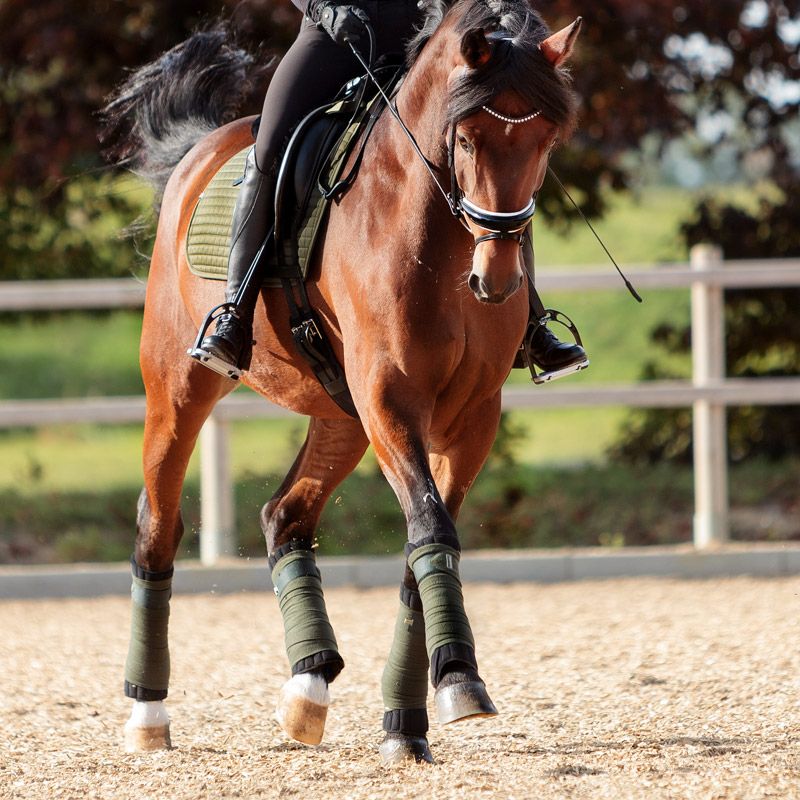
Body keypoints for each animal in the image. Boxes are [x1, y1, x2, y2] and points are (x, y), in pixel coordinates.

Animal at [108, 0, 581, 766]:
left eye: (546, 139)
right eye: (467, 138)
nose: (496, 279)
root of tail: (201, 152)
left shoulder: (471, 417)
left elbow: (424, 545)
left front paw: (407, 722)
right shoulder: (391, 401)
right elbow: (429, 526)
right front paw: (458, 683)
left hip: (341, 413)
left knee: (285, 516)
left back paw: (309, 688)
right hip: (179, 389)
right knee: (158, 526)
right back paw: (148, 714)